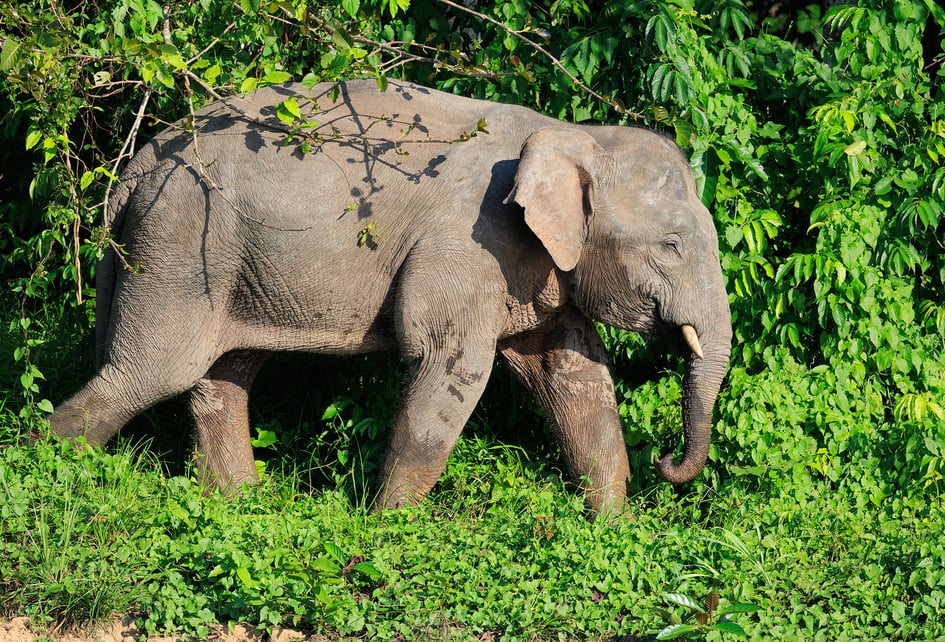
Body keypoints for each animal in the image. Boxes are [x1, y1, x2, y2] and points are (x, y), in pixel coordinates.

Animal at [50, 78, 732, 515]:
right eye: (671, 245)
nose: (666, 463)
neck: (570, 133)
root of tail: (132, 167)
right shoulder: (468, 243)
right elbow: (450, 364)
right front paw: (388, 530)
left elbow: (572, 373)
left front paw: (612, 526)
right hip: (179, 242)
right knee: (152, 371)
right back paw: (50, 472)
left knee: (222, 375)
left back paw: (239, 506)